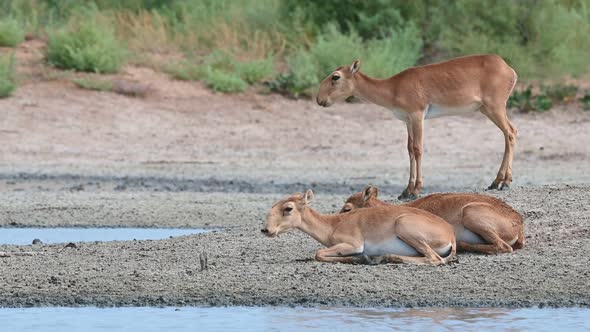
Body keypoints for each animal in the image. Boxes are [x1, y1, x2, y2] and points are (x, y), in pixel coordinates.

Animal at [262, 189, 458, 264]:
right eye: (273, 205)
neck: (333, 224)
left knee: (434, 259)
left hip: (404, 225)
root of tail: (450, 234)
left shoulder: (353, 244)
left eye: (288, 208)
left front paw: (360, 258)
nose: (266, 229)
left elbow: (318, 253)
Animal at [316, 54, 520, 200]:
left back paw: (505, 182)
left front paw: (415, 190)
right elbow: (409, 150)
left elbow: (418, 149)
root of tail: (508, 69)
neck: (394, 87)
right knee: (508, 134)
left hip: (495, 107)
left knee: (511, 132)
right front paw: (405, 191)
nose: (319, 99)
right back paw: (496, 181)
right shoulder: (407, 120)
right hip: (487, 110)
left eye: (335, 76)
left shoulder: (417, 115)